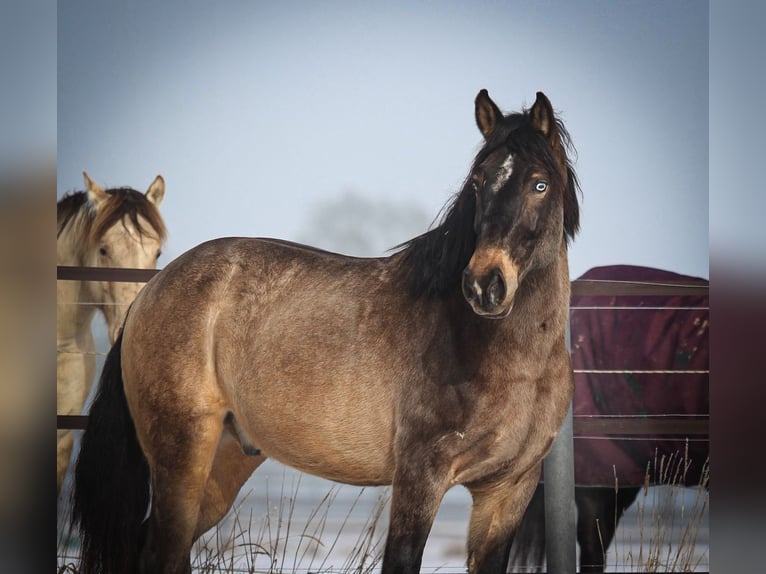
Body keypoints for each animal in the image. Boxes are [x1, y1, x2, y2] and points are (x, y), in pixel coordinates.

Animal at [71, 90, 581, 574]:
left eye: (539, 183)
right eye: (478, 182)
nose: (484, 285)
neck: (499, 356)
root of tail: (150, 292)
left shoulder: (508, 490)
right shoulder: (420, 477)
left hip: (225, 460)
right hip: (181, 454)